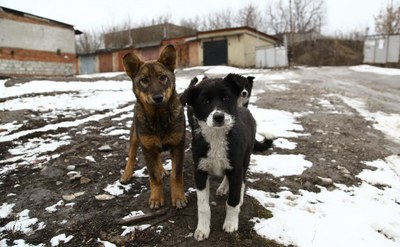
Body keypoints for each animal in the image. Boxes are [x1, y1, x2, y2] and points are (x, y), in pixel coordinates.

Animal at [120, 45, 188, 209]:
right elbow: (154, 176)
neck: (159, 118)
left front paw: (178, 197)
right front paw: (156, 198)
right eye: (144, 80)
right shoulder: (147, 147)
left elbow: (177, 175)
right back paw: (126, 174)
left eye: (163, 77)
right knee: (132, 155)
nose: (158, 98)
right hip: (135, 136)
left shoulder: (178, 145)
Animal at [180, 74, 272, 241]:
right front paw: (202, 229)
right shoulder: (200, 171)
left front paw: (230, 223)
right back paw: (223, 187)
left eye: (226, 98)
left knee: (243, 180)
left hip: (245, 159)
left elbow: (232, 201)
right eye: (205, 101)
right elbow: (203, 206)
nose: (218, 117)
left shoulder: (236, 169)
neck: (217, 137)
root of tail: (245, 109)